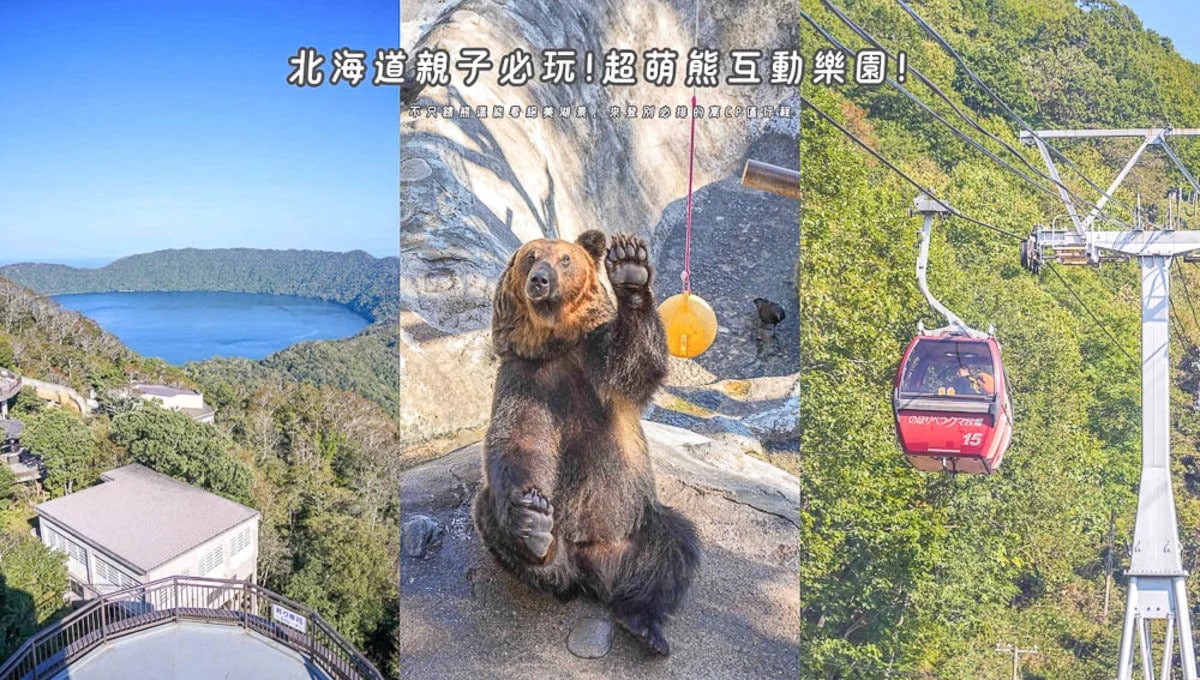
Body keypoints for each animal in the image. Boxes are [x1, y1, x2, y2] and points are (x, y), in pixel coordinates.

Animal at [472, 229, 701, 656]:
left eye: (565, 259)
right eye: (530, 257)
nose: (540, 280)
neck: (556, 344)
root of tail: (597, 572)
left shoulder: (598, 364)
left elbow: (637, 361)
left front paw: (629, 267)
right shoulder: (525, 379)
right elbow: (518, 440)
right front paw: (531, 510)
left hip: (638, 523)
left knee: (671, 549)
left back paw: (643, 622)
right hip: (556, 539)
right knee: (491, 514)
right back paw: (536, 537)